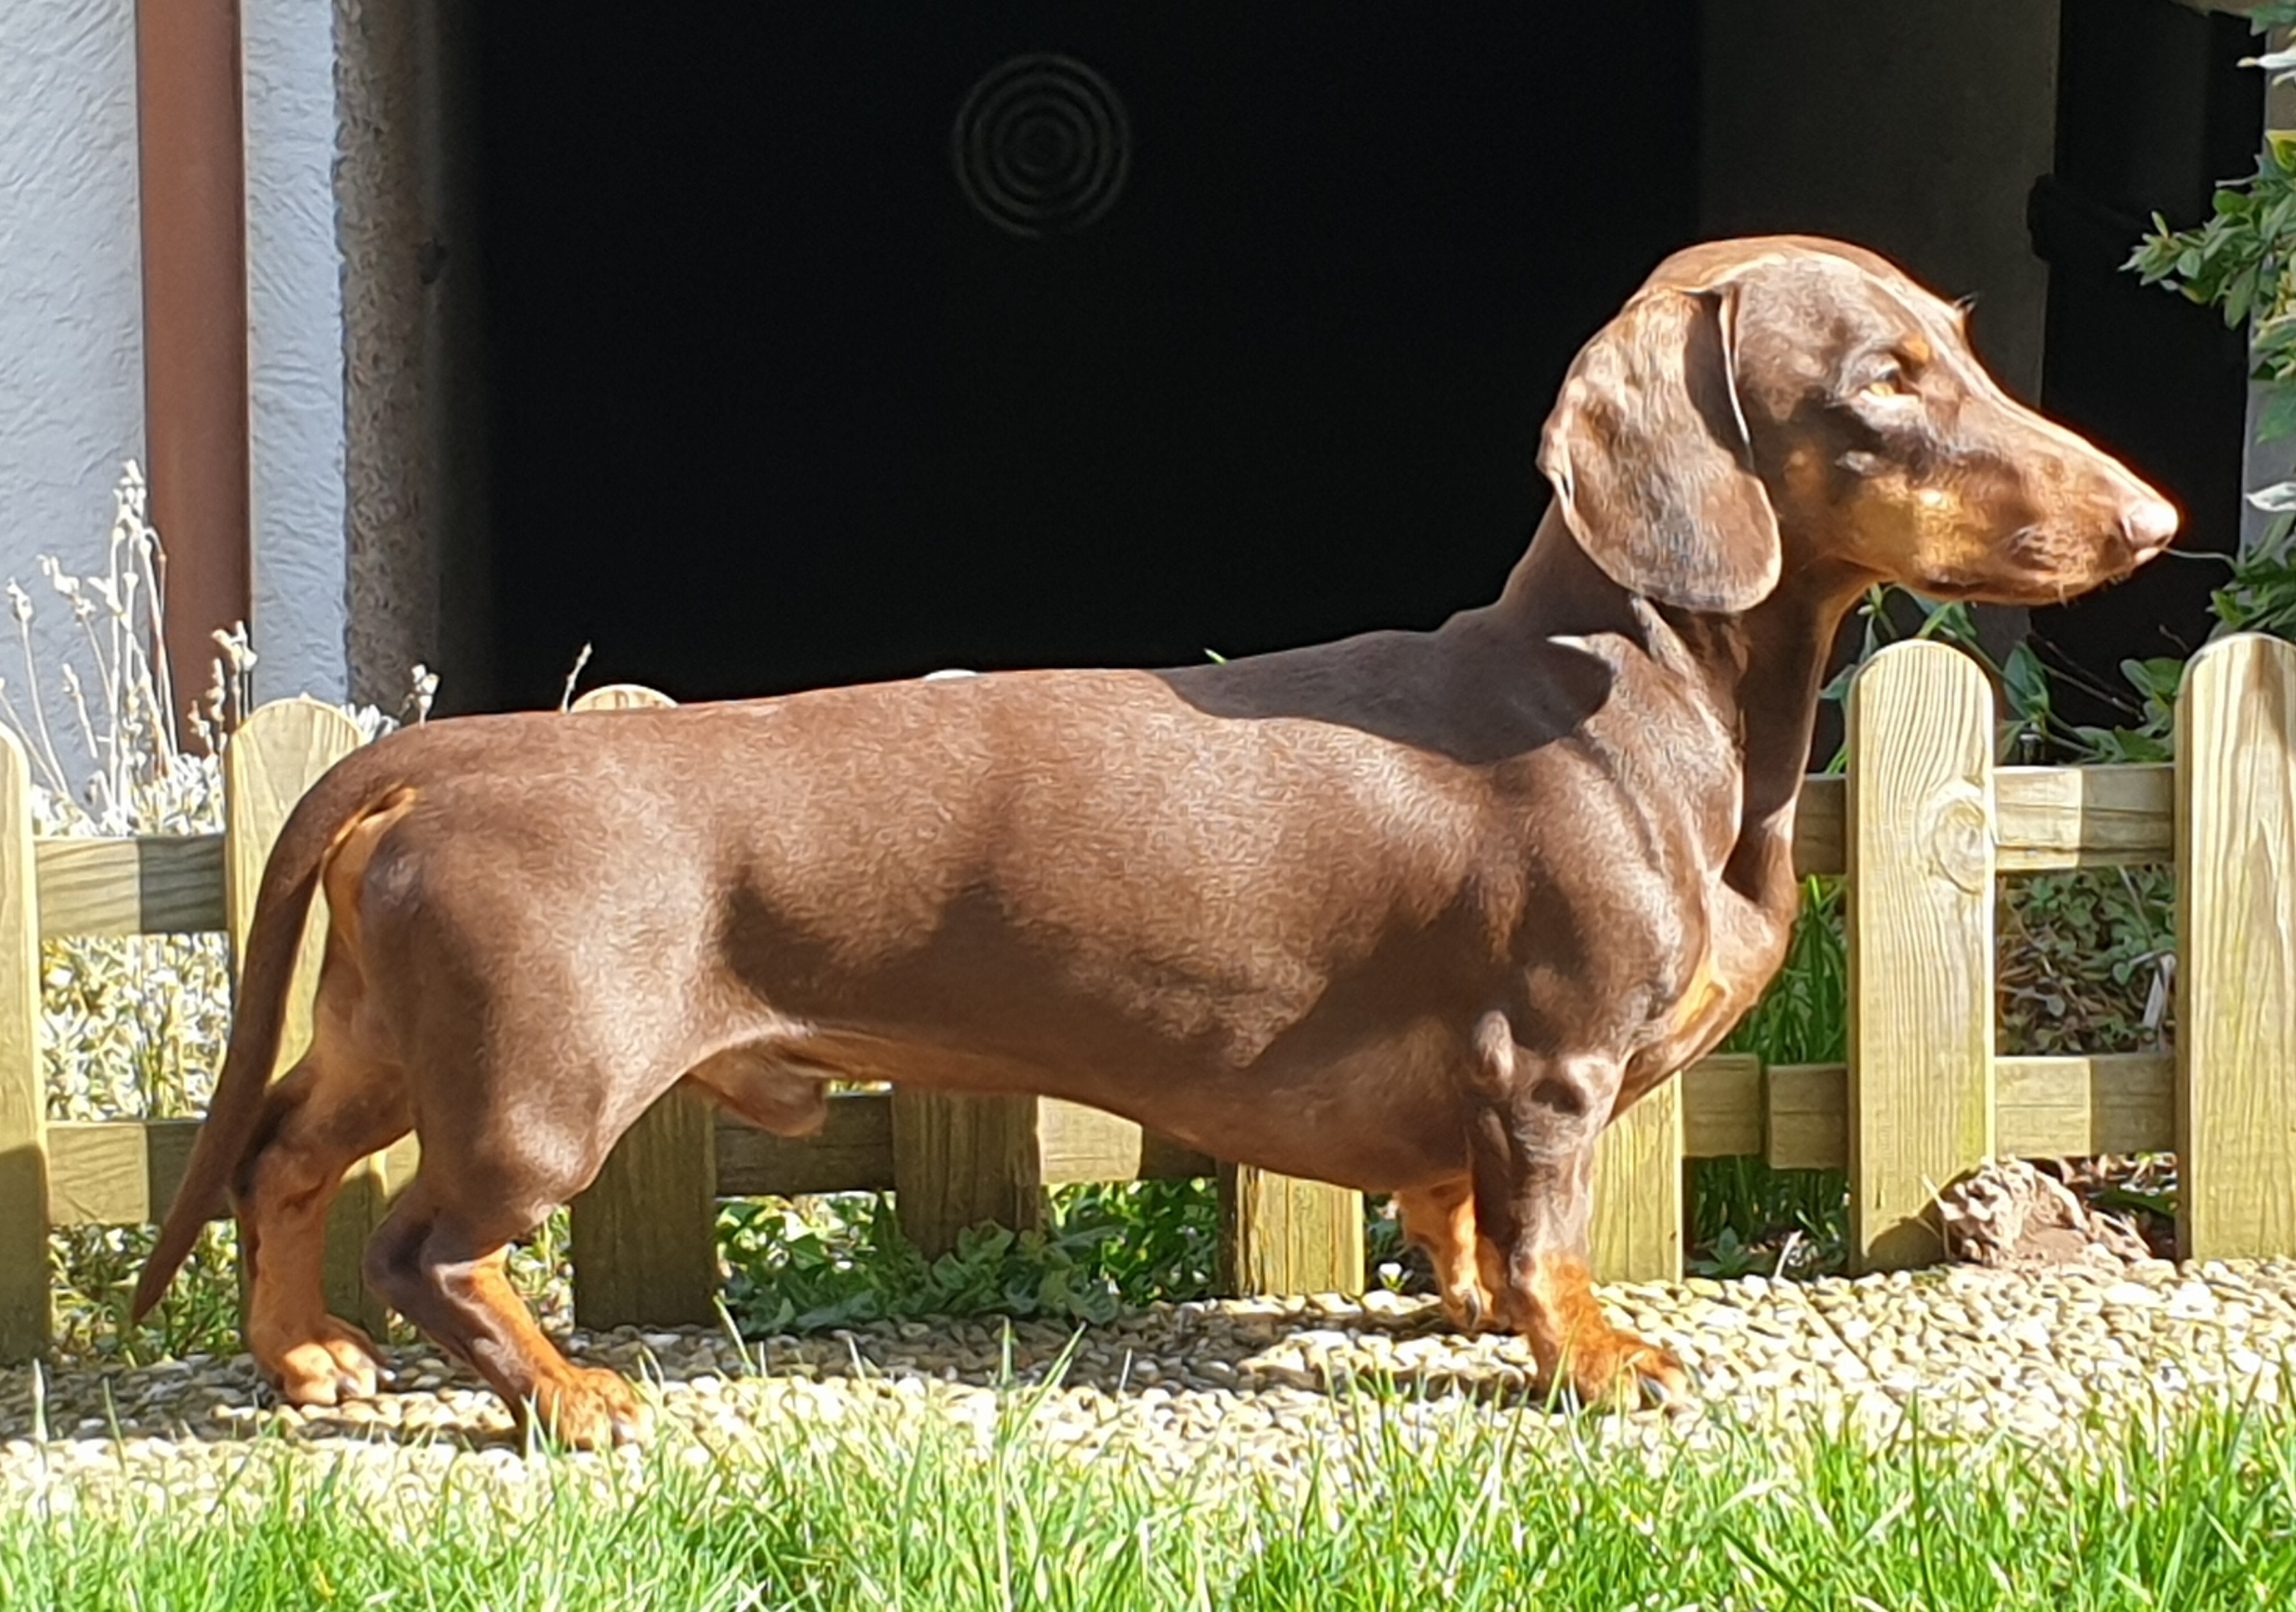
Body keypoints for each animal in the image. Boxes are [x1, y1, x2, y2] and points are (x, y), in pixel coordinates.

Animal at [134, 236, 2176, 1446]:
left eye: (1962, 347)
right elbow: (1544, 1236)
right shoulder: (1550, 1063)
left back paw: (303, 1356)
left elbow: (1453, 1215)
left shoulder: (1478, 1089)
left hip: (394, 1039)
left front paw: (1457, 1304)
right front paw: (1593, 1355)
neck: (1631, 683)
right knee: (429, 1245)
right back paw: (567, 1395)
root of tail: (446, 757)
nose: (2157, 519)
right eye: (1885, 379)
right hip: (539, 1087)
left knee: (284, 1164)